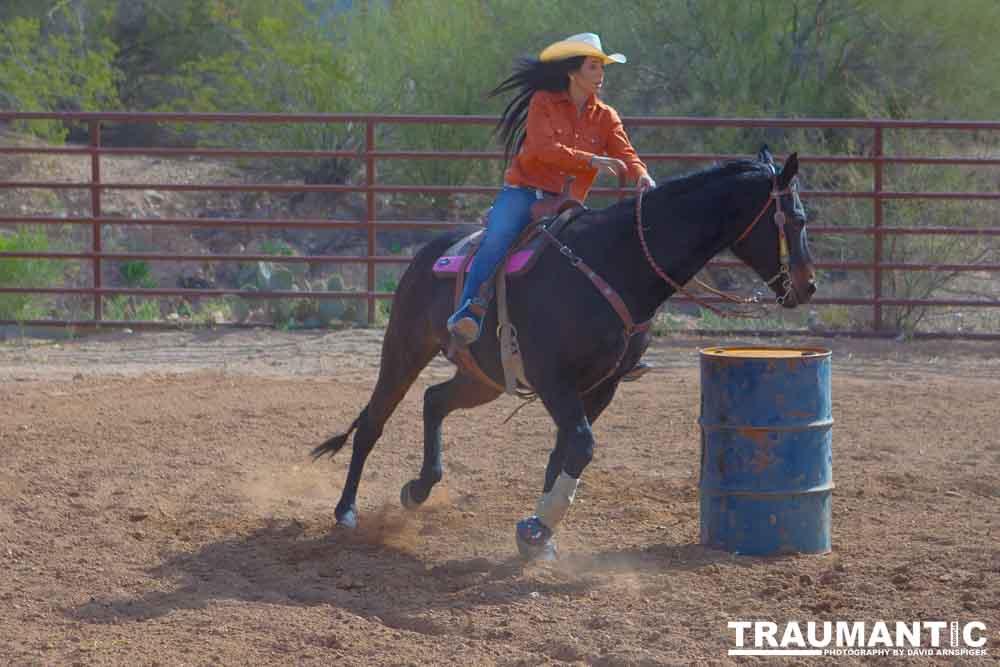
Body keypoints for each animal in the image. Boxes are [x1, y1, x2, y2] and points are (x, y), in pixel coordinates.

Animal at [312, 146, 812, 560]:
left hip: (483, 377)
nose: (808, 286)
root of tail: (430, 250)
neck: (615, 263)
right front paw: (538, 527)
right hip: (405, 347)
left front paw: (538, 534)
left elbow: (566, 453)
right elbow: (582, 446)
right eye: (799, 219)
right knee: (373, 422)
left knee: (434, 400)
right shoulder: (555, 380)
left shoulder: (600, 387)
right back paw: (346, 510)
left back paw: (418, 488)